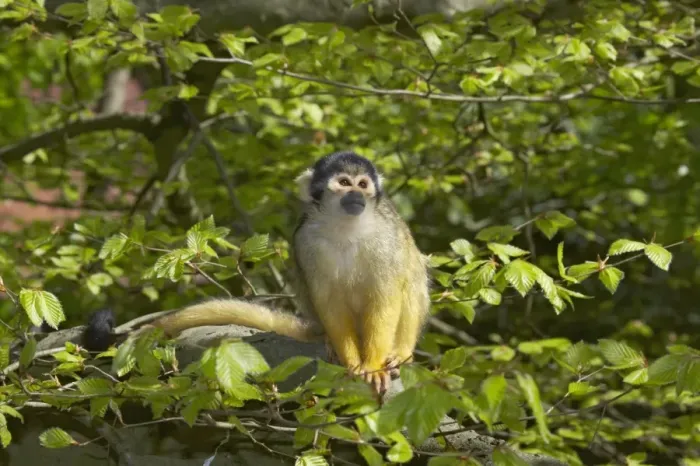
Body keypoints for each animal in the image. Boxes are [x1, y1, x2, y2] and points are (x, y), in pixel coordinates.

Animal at [83, 151, 432, 394]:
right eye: (344, 183)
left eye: (362, 184)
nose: (357, 196)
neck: (346, 226)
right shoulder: (305, 238)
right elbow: (328, 298)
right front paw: (353, 362)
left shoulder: (384, 234)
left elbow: (385, 295)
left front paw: (372, 365)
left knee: (411, 277)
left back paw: (399, 354)